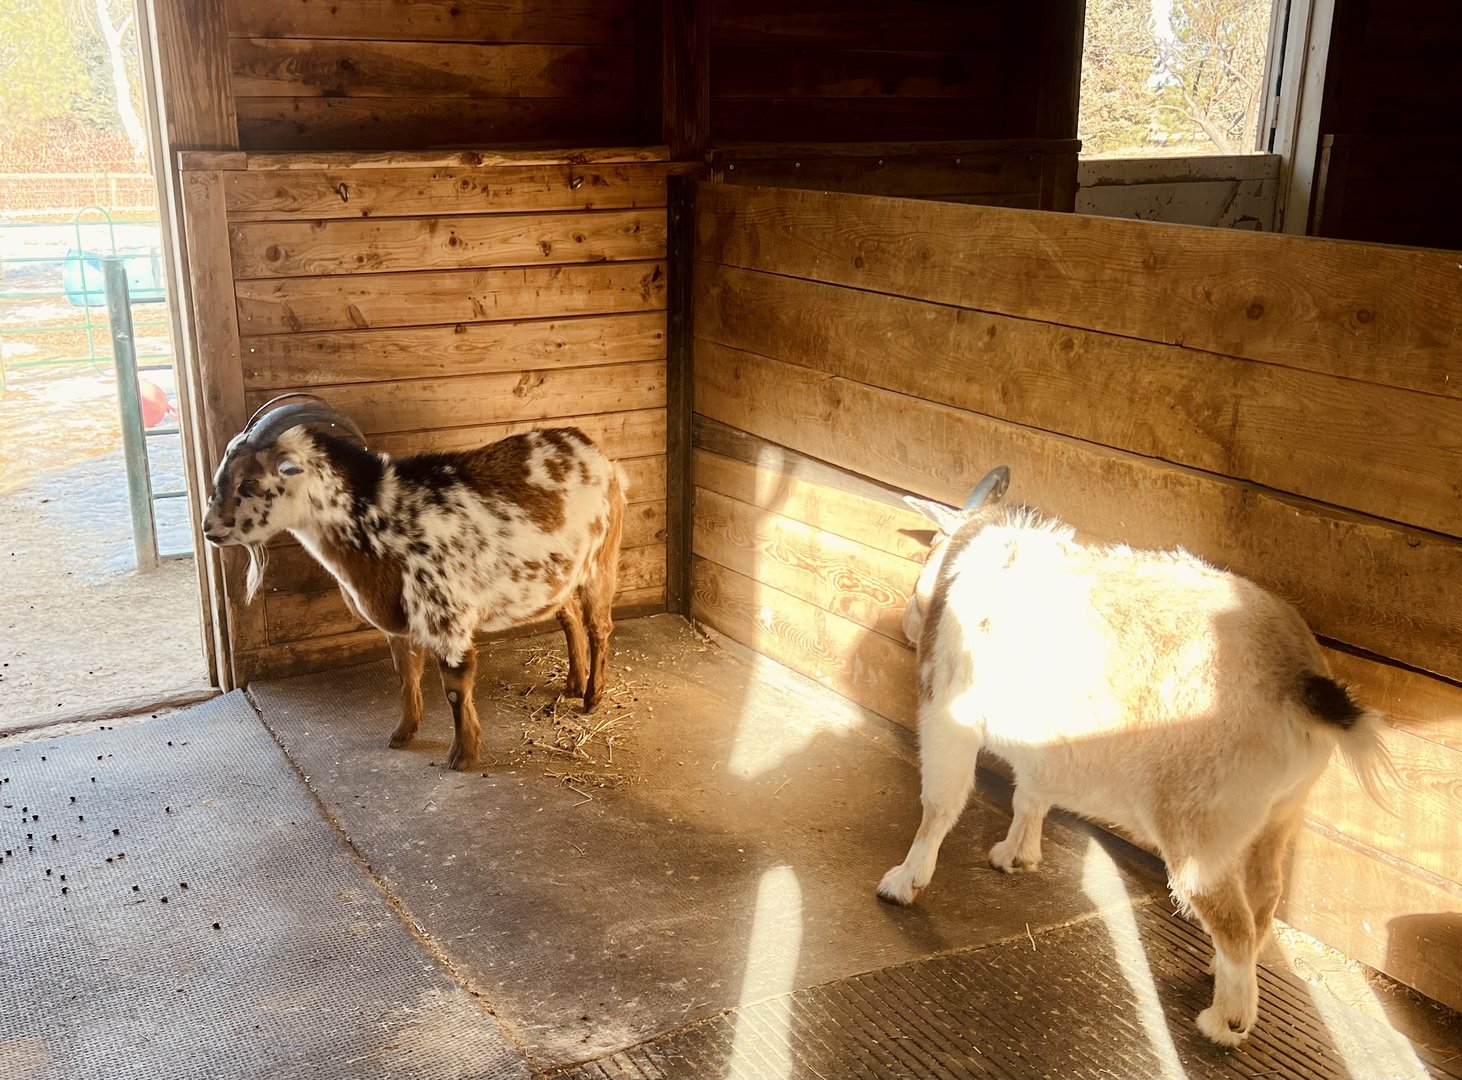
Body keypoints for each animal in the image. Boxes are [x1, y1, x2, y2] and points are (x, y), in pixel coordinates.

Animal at [202, 394, 626, 771]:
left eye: (249, 483)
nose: (209, 529)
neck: (379, 517)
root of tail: (590, 448)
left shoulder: (447, 619)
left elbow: (455, 686)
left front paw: (462, 756)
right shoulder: (398, 625)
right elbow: (406, 677)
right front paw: (402, 735)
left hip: (601, 561)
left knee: (599, 626)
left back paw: (592, 697)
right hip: (559, 576)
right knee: (569, 617)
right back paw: (573, 683)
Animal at [877, 466, 1391, 1046]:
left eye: (929, 550)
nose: (906, 622)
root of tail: (1301, 681)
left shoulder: (948, 719)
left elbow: (939, 805)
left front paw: (904, 881)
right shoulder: (1044, 747)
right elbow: (1031, 794)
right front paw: (1016, 855)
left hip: (1199, 830)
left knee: (1233, 921)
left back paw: (1226, 1022)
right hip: (1280, 816)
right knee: (1264, 897)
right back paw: (1222, 971)